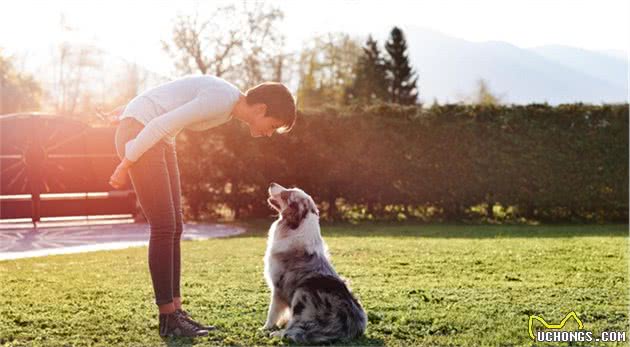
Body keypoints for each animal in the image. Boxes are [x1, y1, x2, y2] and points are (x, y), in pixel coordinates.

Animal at [262, 184, 370, 344]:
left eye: (286, 194)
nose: (271, 184)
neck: (297, 225)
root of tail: (352, 328)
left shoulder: (278, 286)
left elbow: (273, 312)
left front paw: (266, 328)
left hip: (302, 291)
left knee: (296, 329)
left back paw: (278, 333)